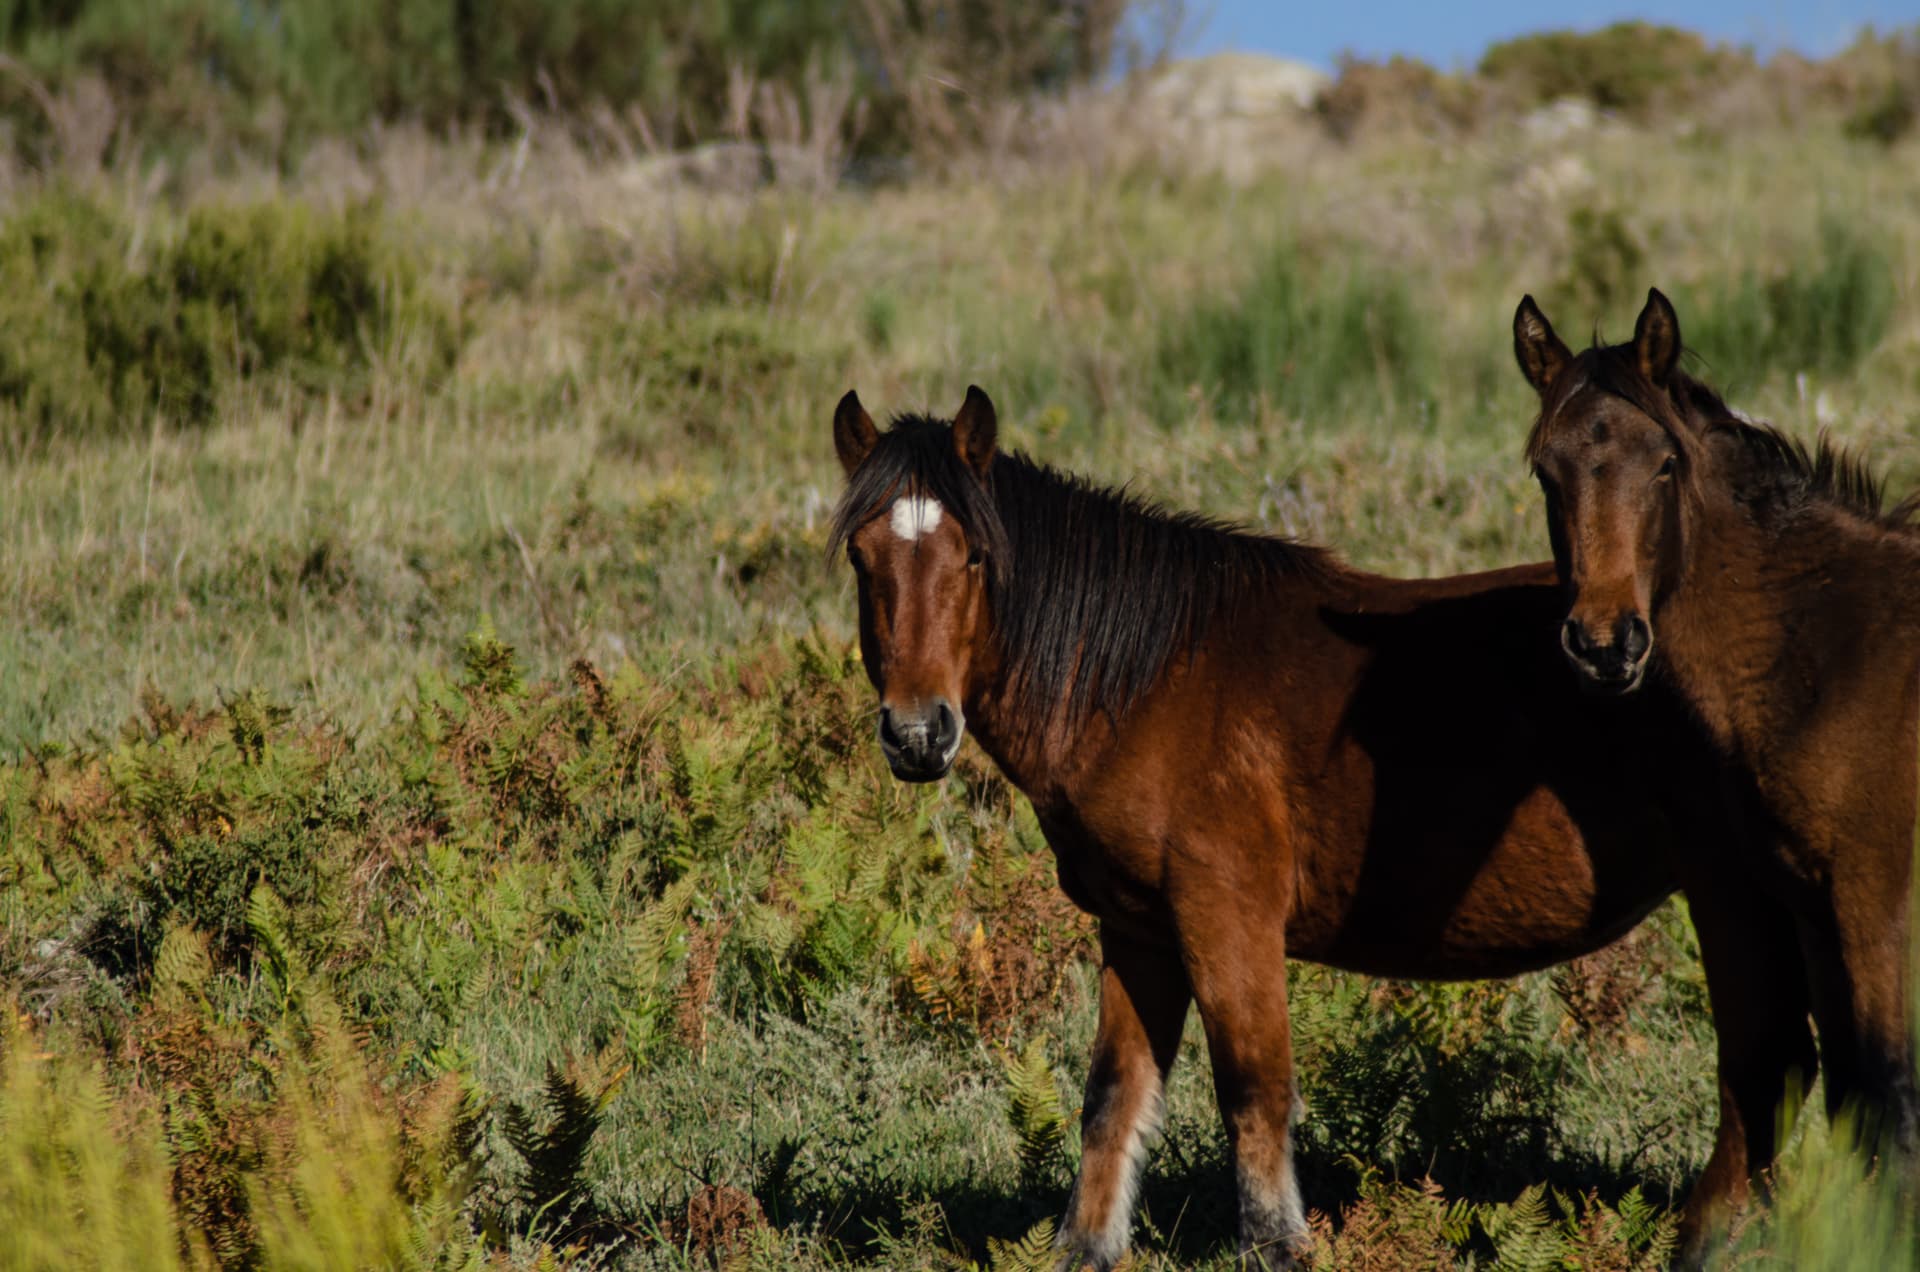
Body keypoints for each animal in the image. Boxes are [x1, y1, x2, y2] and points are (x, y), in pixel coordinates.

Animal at [829, 385, 1739, 1269]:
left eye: (975, 557)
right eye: (861, 559)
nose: (919, 733)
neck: (1148, 680)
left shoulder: (1227, 918)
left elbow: (1253, 1089)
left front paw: (1276, 1246)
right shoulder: (1138, 930)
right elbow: (1114, 1096)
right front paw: (1084, 1248)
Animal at [1514, 287, 1920, 1259]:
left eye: (1665, 465)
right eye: (1546, 471)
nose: (1605, 643)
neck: (1834, 653)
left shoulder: (1874, 898)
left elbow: (1887, 1092)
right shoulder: (1809, 905)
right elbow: (1847, 1089)